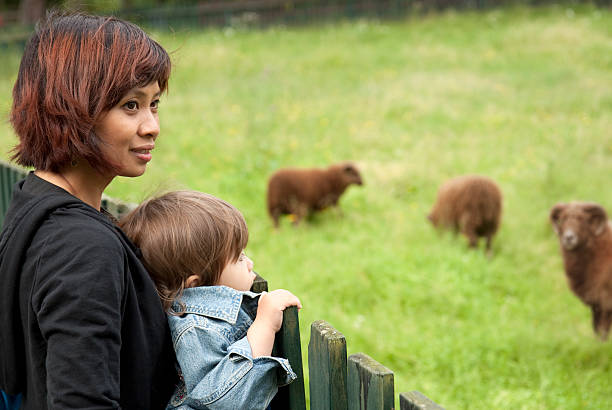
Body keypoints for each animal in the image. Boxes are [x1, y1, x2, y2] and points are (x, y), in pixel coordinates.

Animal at [548, 202, 612, 340]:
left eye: (582, 219)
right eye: (563, 218)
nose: (568, 238)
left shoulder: (606, 302)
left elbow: (602, 331)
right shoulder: (596, 304)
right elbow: (596, 329)